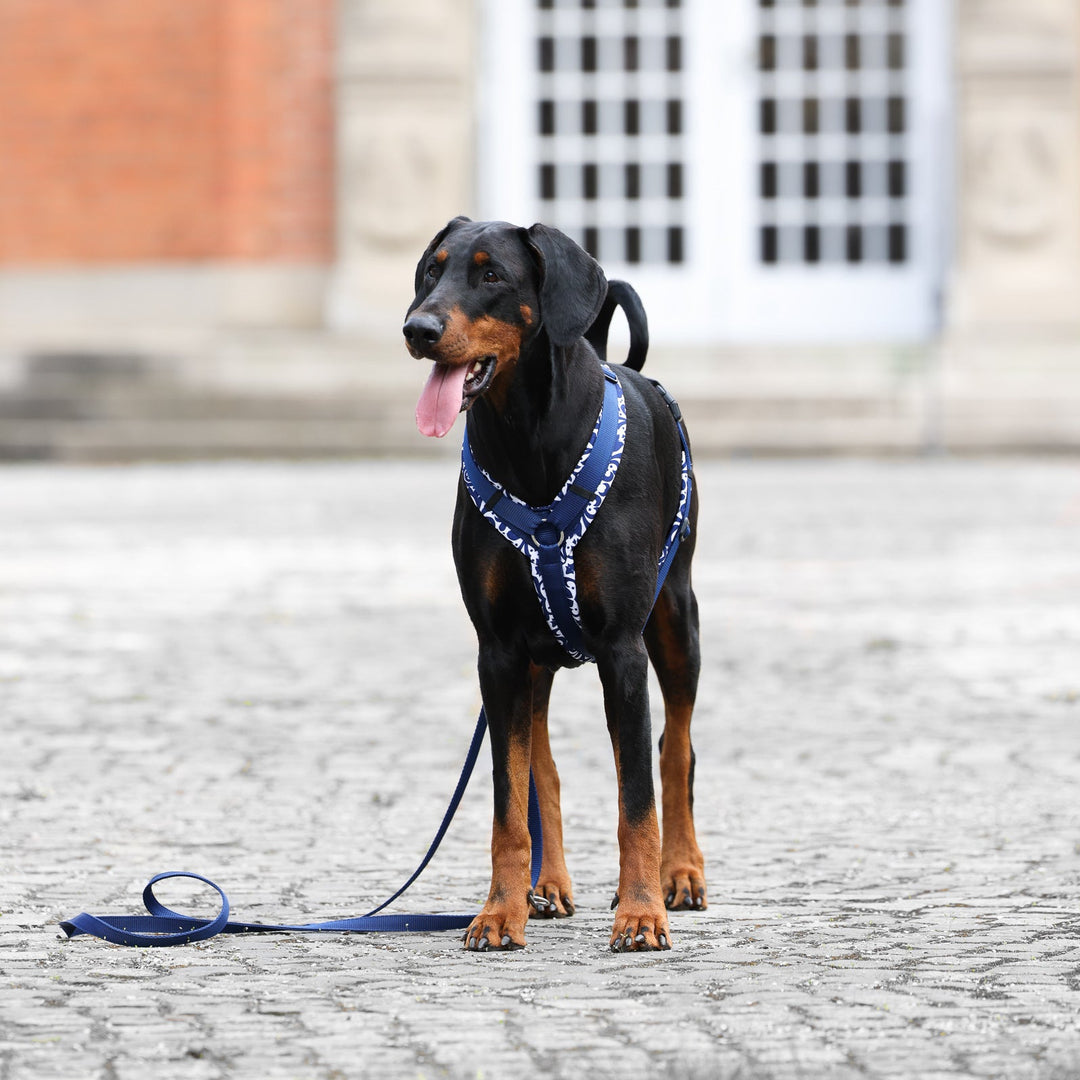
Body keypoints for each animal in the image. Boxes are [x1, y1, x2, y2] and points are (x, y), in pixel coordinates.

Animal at [401, 219, 704, 954]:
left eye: (491, 274)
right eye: (432, 270)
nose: (418, 328)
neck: (529, 441)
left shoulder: (623, 649)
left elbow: (635, 798)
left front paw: (641, 914)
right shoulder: (498, 651)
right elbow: (509, 801)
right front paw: (497, 912)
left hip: (676, 619)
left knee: (674, 748)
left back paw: (678, 874)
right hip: (535, 660)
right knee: (543, 768)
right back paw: (548, 886)